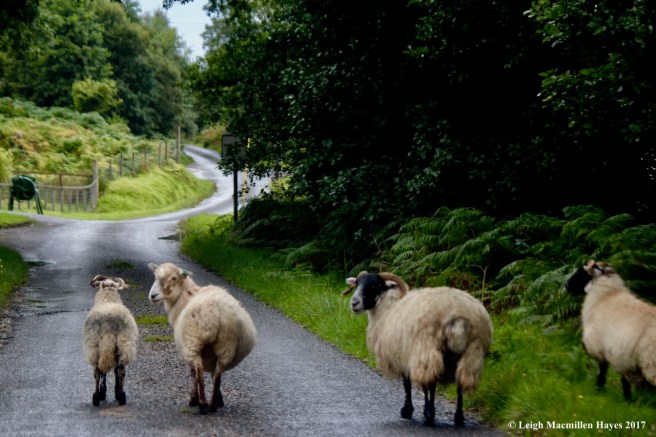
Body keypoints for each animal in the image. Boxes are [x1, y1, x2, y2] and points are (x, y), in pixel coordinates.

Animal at [83, 275, 138, 406]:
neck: (108, 297)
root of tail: (107, 322)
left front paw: (104, 392)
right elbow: (115, 371)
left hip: (94, 344)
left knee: (98, 371)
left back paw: (97, 396)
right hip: (124, 343)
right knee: (121, 369)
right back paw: (120, 395)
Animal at [148, 262, 257, 414]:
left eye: (174, 278)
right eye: (155, 276)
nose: (153, 295)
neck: (185, 297)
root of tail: (216, 312)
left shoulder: (186, 347)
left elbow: (192, 373)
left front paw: (193, 400)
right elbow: (212, 374)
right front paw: (220, 400)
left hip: (194, 343)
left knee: (199, 375)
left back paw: (203, 404)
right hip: (226, 346)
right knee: (217, 377)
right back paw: (213, 405)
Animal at [343, 271, 493, 427]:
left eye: (375, 285)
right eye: (357, 284)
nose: (354, 303)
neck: (388, 307)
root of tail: (457, 317)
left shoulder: (403, 355)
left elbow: (407, 384)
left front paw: (407, 410)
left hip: (426, 348)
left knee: (430, 382)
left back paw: (429, 414)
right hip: (472, 352)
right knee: (460, 384)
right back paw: (458, 417)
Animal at [566, 260, 656, 400]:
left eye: (581, 273)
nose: (566, 286)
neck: (605, 296)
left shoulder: (599, 348)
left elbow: (601, 373)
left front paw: (598, 391)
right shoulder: (624, 358)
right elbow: (625, 381)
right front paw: (628, 400)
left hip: (651, 362)